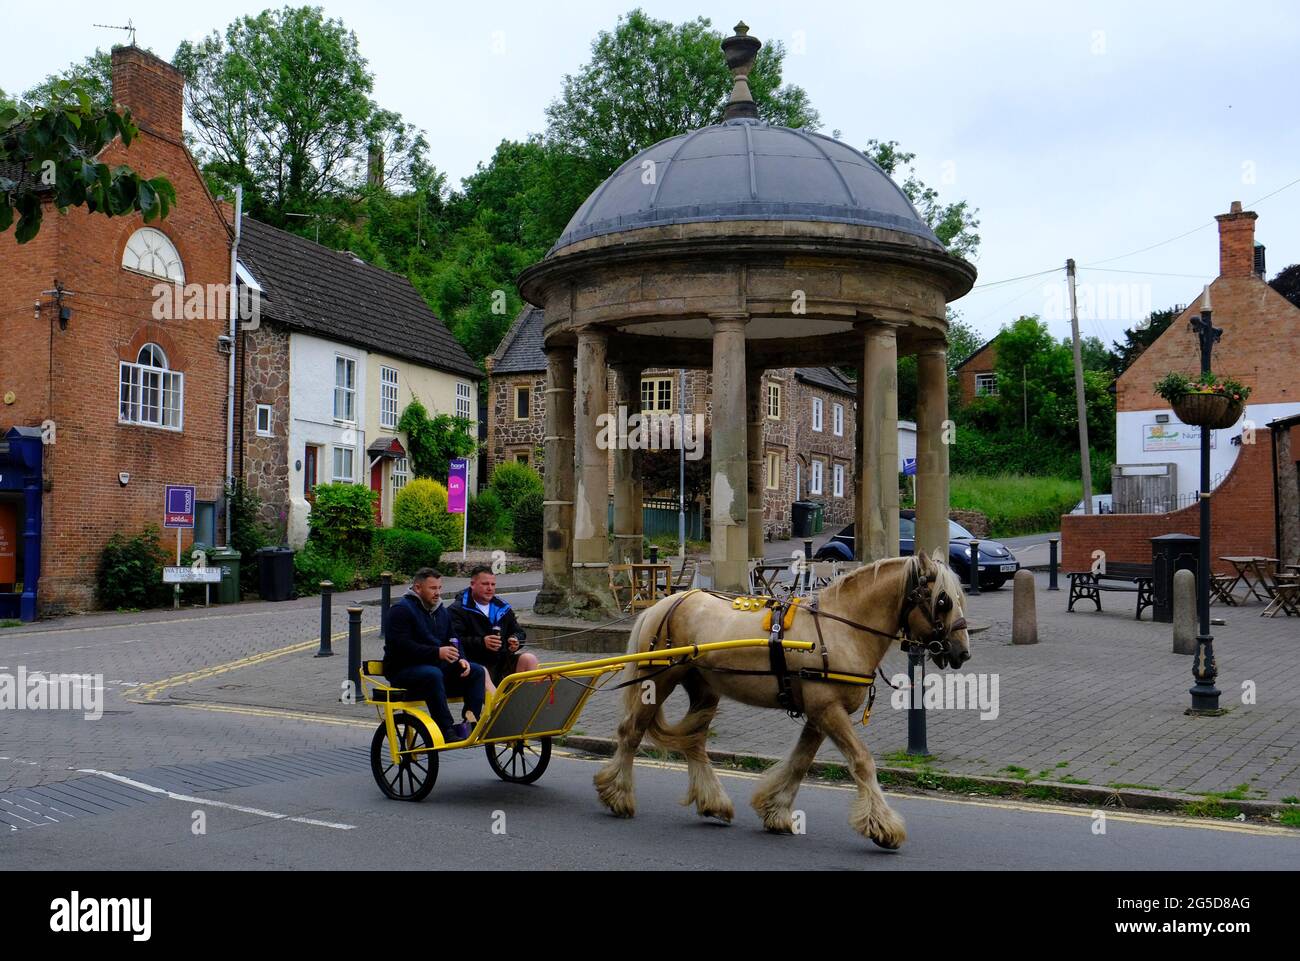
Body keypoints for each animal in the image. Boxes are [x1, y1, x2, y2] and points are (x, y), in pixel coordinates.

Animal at [595, 548, 972, 847]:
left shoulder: (820, 713)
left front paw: (775, 809)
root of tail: (665, 603)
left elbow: (801, 761)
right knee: (631, 732)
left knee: (694, 742)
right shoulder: (827, 709)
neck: (842, 628)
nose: (962, 652)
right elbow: (862, 761)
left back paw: (712, 801)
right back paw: (618, 794)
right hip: (657, 681)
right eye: (942, 600)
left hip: (703, 689)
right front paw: (882, 826)